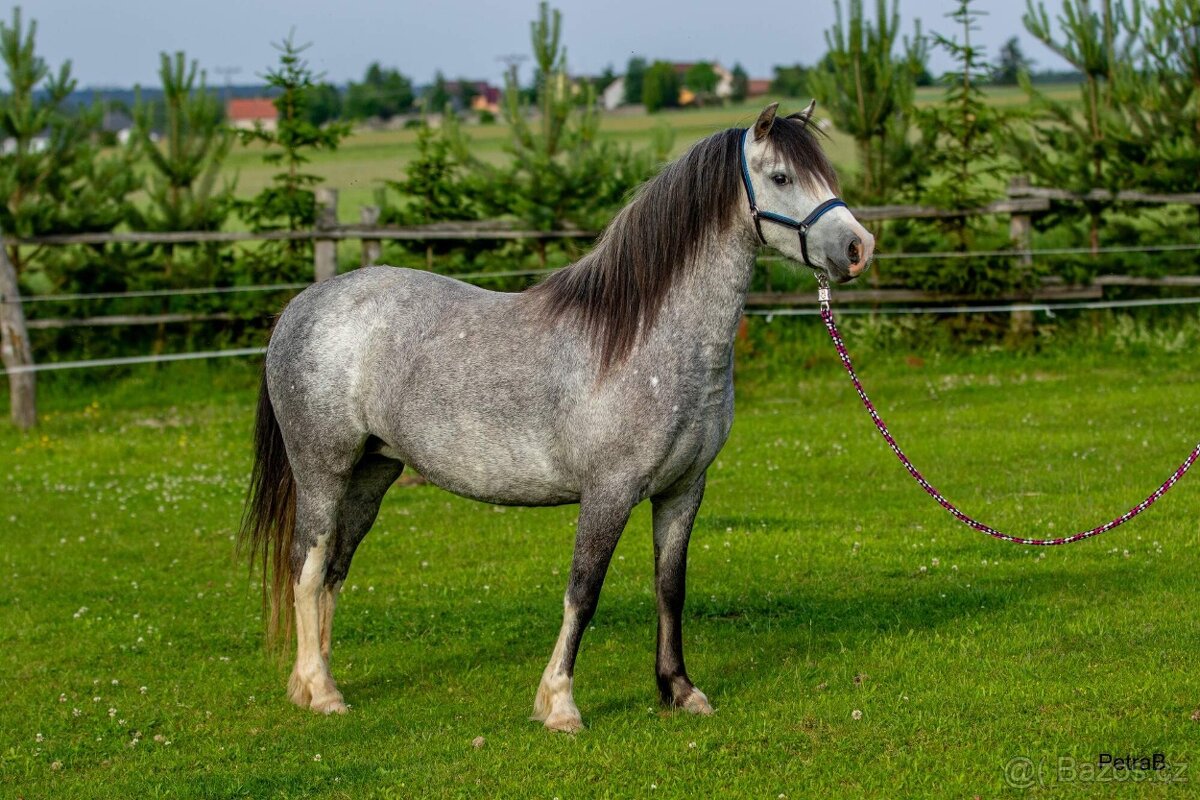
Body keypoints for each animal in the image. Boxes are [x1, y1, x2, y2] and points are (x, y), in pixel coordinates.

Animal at [239, 101, 875, 732]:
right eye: (781, 177)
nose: (858, 248)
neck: (647, 339)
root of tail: (304, 304)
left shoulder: (684, 489)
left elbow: (671, 588)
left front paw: (679, 690)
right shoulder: (609, 492)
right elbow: (583, 591)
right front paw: (560, 703)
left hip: (371, 474)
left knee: (334, 570)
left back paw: (313, 680)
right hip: (322, 471)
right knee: (307, 566)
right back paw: (321, 691)